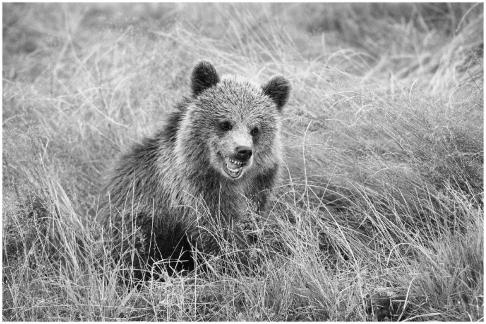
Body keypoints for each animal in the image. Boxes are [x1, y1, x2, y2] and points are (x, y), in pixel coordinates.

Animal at [99, 62, 288, 280]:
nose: (243, 151)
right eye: (225, 123)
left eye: (255, 129)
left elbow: (250, 220)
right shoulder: (195, 191)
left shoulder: (259, 184)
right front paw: (238, 263)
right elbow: (217, 231)